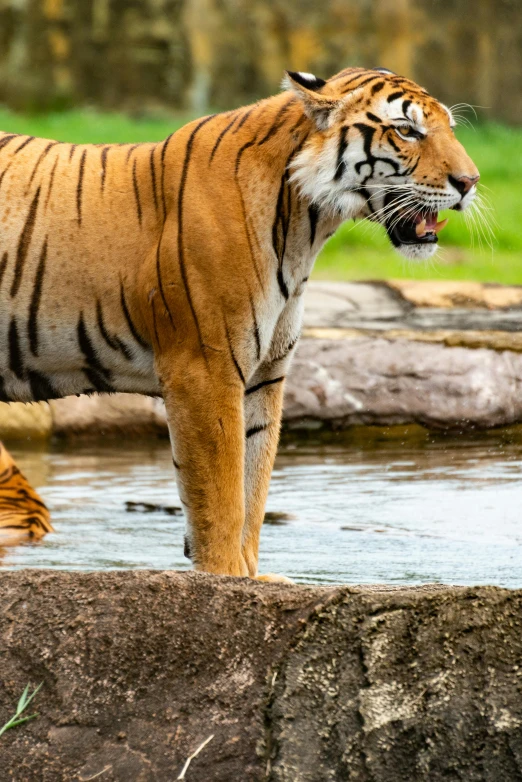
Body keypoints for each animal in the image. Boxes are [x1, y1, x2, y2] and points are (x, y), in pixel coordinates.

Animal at [0, 66, 476, 580]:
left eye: (450, 128)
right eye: (407, 130)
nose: (470, 181)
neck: (306, 226)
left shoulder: (264, 374)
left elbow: (253, 483)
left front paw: (253, 577)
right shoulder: (205, 369)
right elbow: (221, 494)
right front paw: (226, 578)